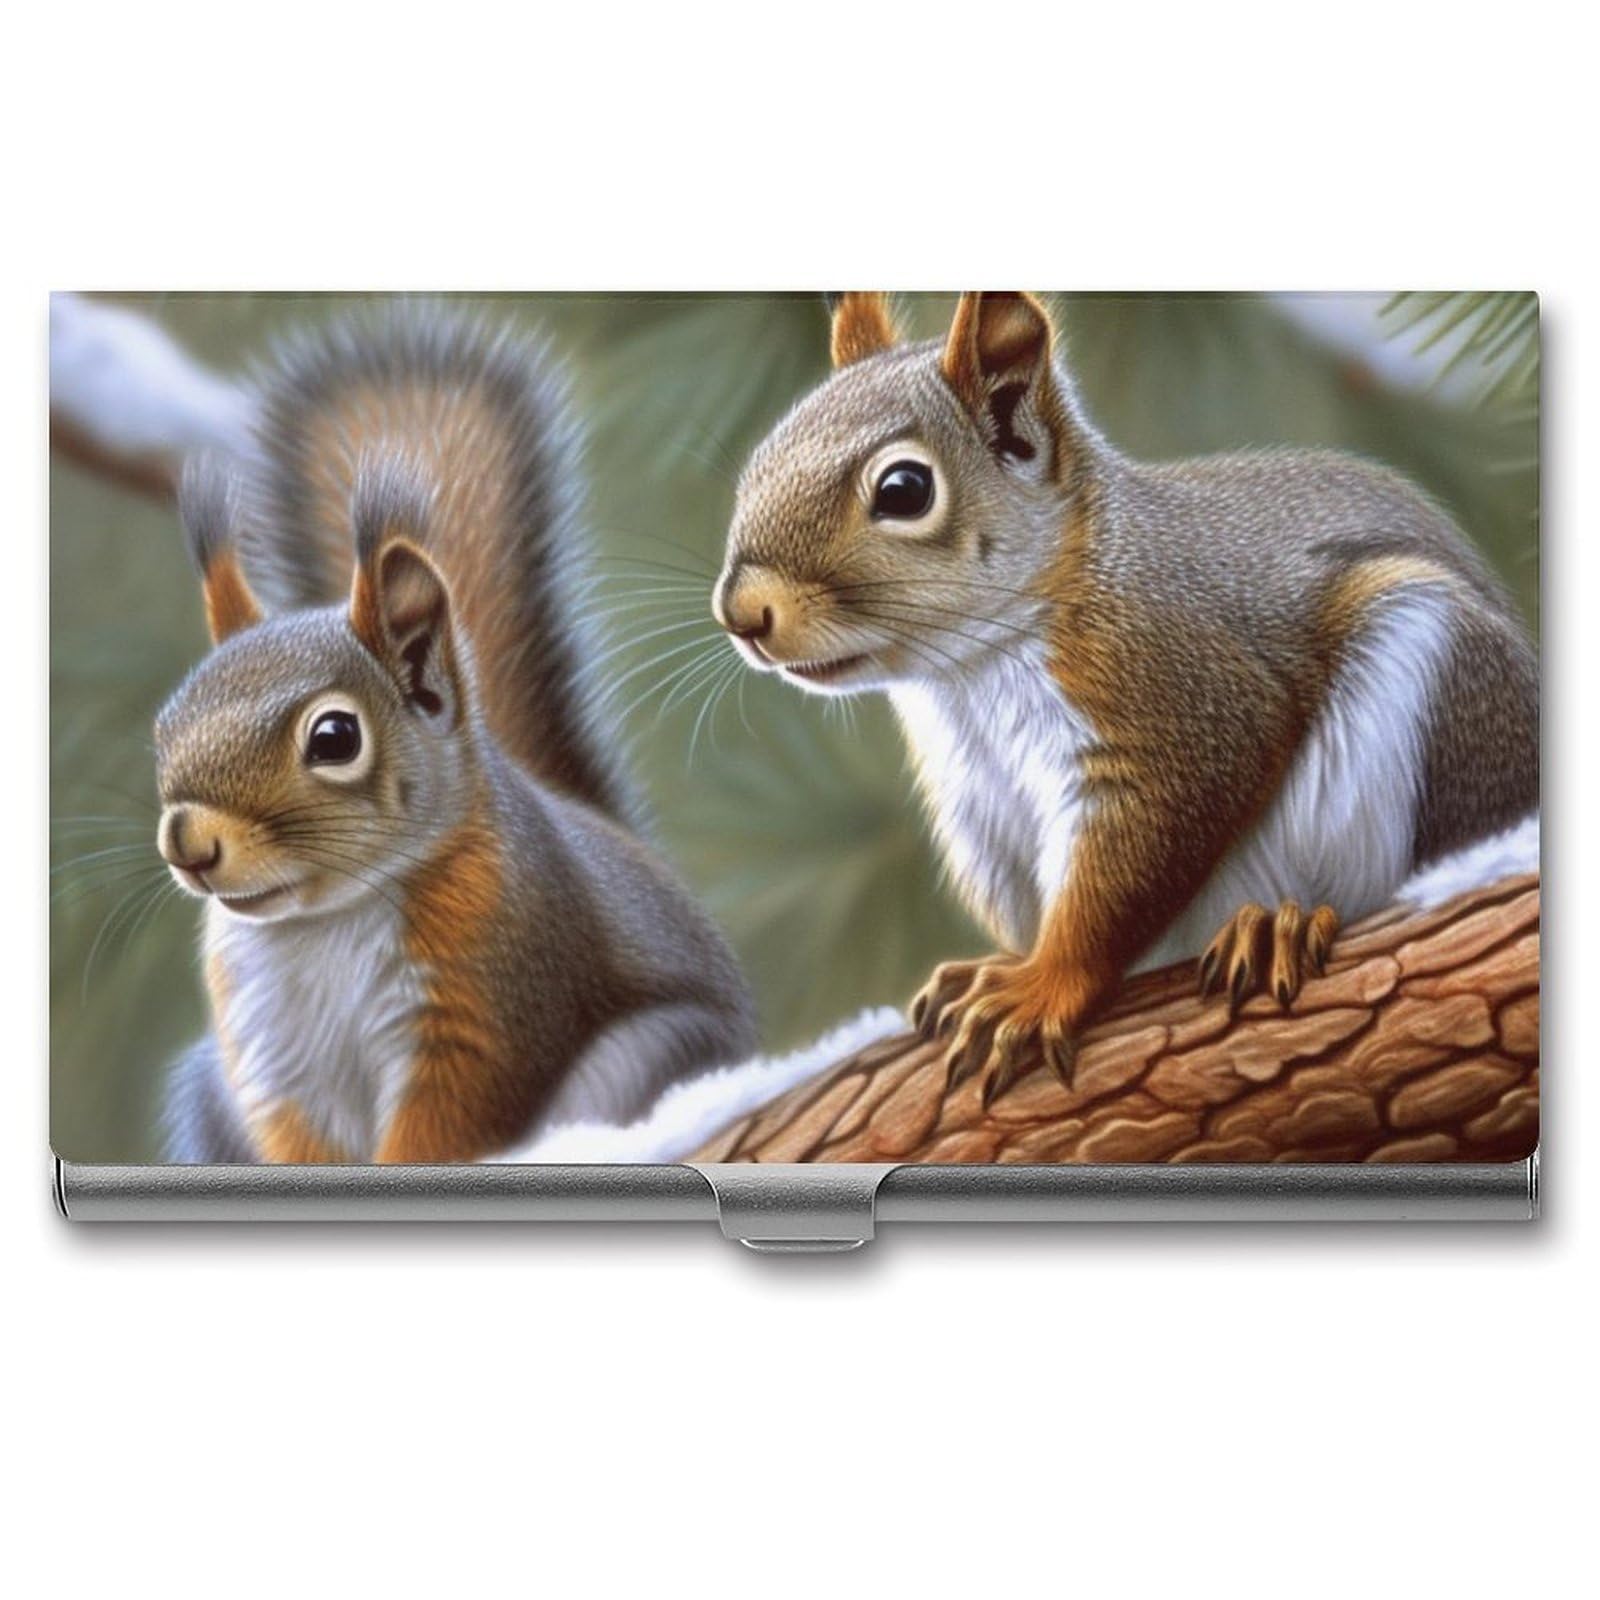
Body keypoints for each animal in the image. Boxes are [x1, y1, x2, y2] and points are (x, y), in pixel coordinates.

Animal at [156, 301, 755, 1163]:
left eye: (334, 739)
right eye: (165, 726)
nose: (189, 845)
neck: (323, 923)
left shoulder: (485, 1003)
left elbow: (444, 1125)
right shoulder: (274, 1057)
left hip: (648, 1056)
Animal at [715, 291, 1538, 1105]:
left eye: (904, 490)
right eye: (756, 462)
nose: (741, 614)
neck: (970, 673)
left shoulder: (1180, 704)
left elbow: (1122, 880)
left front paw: (1041, 985)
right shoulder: (980, 801)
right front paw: (996, 967)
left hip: (1444, 673)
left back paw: (1279, 924)